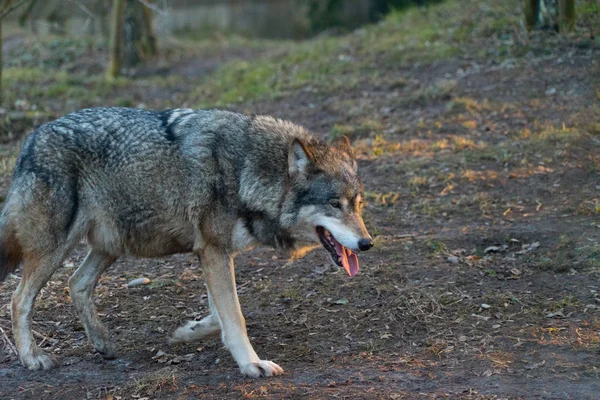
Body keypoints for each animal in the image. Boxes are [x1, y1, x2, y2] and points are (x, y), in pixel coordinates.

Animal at [0, 108, 372, 376]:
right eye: (334, 205)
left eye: (357, 204)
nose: (366, 243)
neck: (246, 172)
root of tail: (30, 141)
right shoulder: (213, 251)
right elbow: (235, 316)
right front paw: (252, 364)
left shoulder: (211, 253)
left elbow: (220, 314)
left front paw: (186, 332)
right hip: (55, 250)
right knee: (19, 300)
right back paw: (32, 358)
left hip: (109, 246)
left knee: (76, 283)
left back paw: (102, 342)